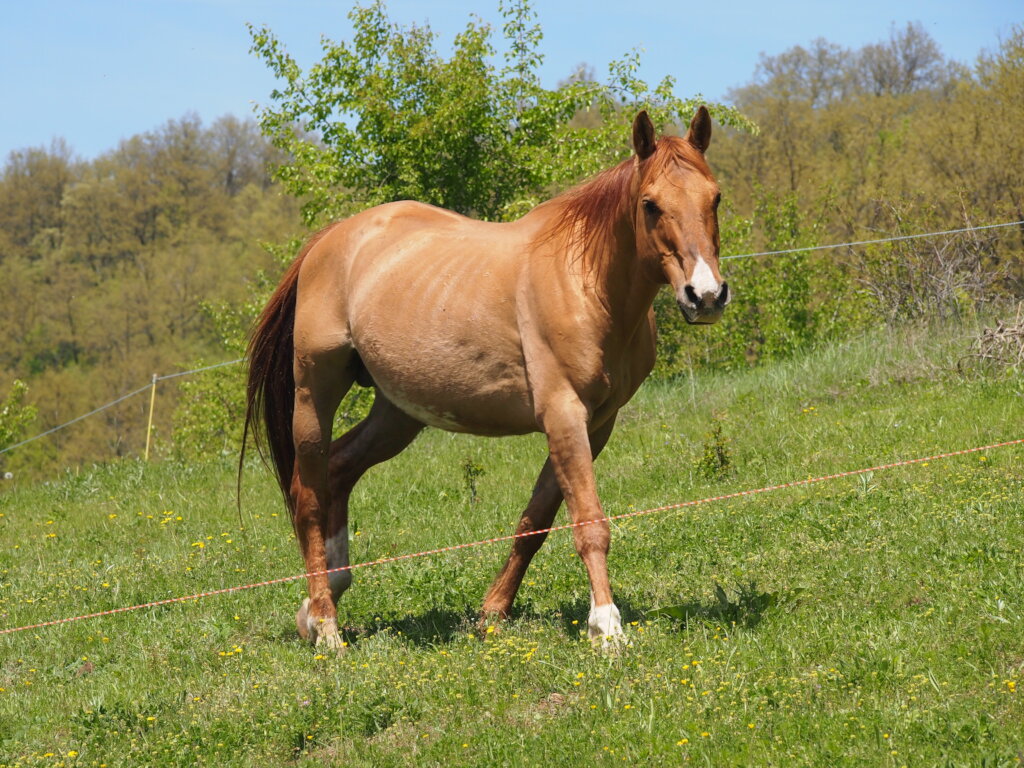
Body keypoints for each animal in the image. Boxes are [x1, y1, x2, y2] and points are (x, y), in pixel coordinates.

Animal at [243, 108, 730, 650]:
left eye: (715, 198)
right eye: (650, 204)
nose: (706, 296)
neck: (586, 282)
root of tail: (329, 240)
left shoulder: (596, 423)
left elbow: (536, 521)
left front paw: (494, 611)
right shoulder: (563, 414)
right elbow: (589, 522)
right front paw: (606, 627)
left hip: (398, 412)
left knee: (340, 469)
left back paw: (321, 599)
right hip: (315, 394)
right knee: (308, 495)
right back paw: (326, 626)